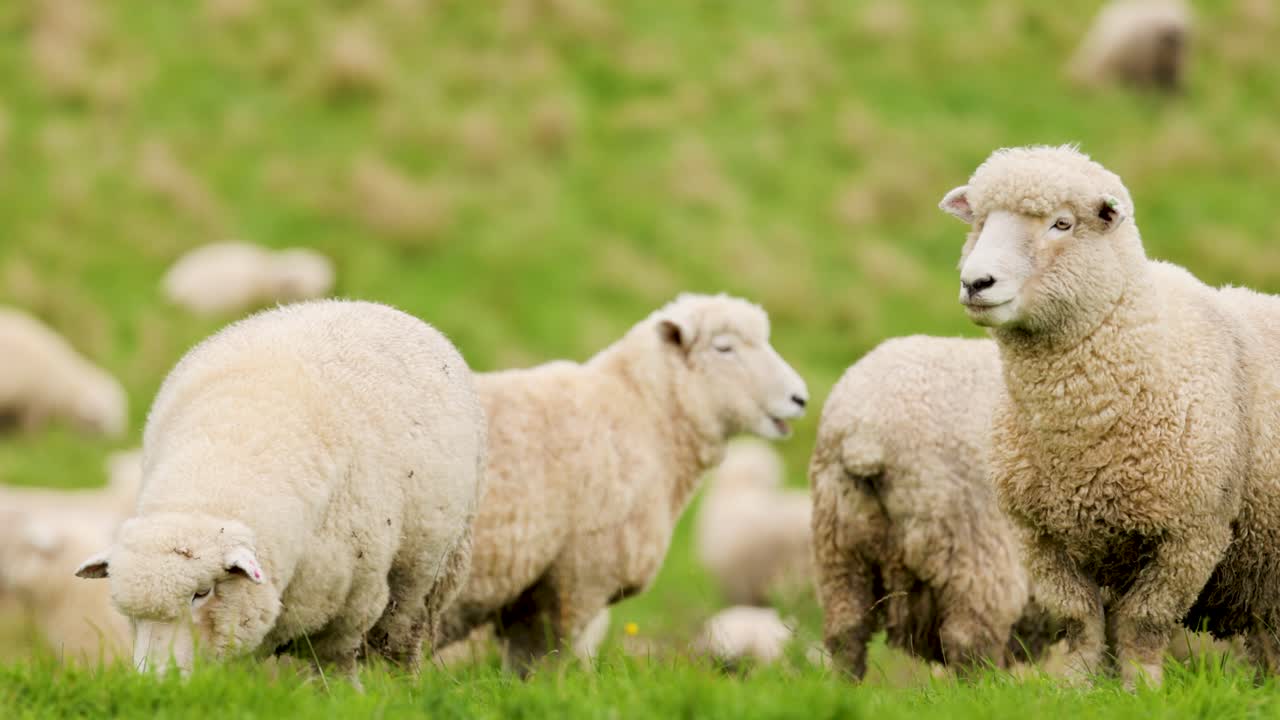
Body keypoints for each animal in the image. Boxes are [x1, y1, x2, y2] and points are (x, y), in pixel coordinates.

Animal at [74, 300, 487, 677]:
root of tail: (372, 305)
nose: (156, 680)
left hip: (428, 573)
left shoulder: (350, 606)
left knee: (400, 640)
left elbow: (336, 667)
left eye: (202, 593)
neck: (206, 489)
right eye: (127, 609)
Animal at [940, 144, 1280, 688]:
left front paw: (1142, 688)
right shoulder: (1040, 537)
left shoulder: (1192, 535)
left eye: (1061, 224)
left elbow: (1143, 623)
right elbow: (1079, 620)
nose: (976, 282)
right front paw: (1077, 689)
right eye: (981, 222)